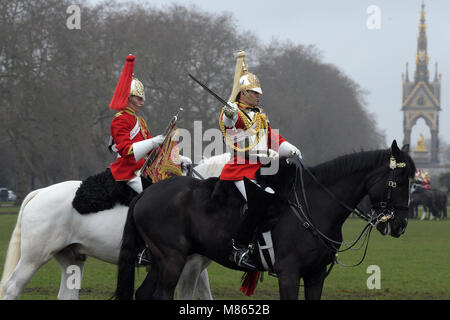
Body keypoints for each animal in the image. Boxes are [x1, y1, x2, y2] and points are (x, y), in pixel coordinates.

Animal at [0, 153, 227, 300]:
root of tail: (40, 192)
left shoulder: (196, 266)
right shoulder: (189, 266)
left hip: (72, 258)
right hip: (34, 257)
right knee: (11, 288)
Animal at [115, 141, 414, 300]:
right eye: (398, 180)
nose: (400, 225)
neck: (315, 205)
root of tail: (147, 192)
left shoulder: (315, 276)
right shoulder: (289, 274)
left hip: (162, 260)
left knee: (144, 294)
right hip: (172, 259)